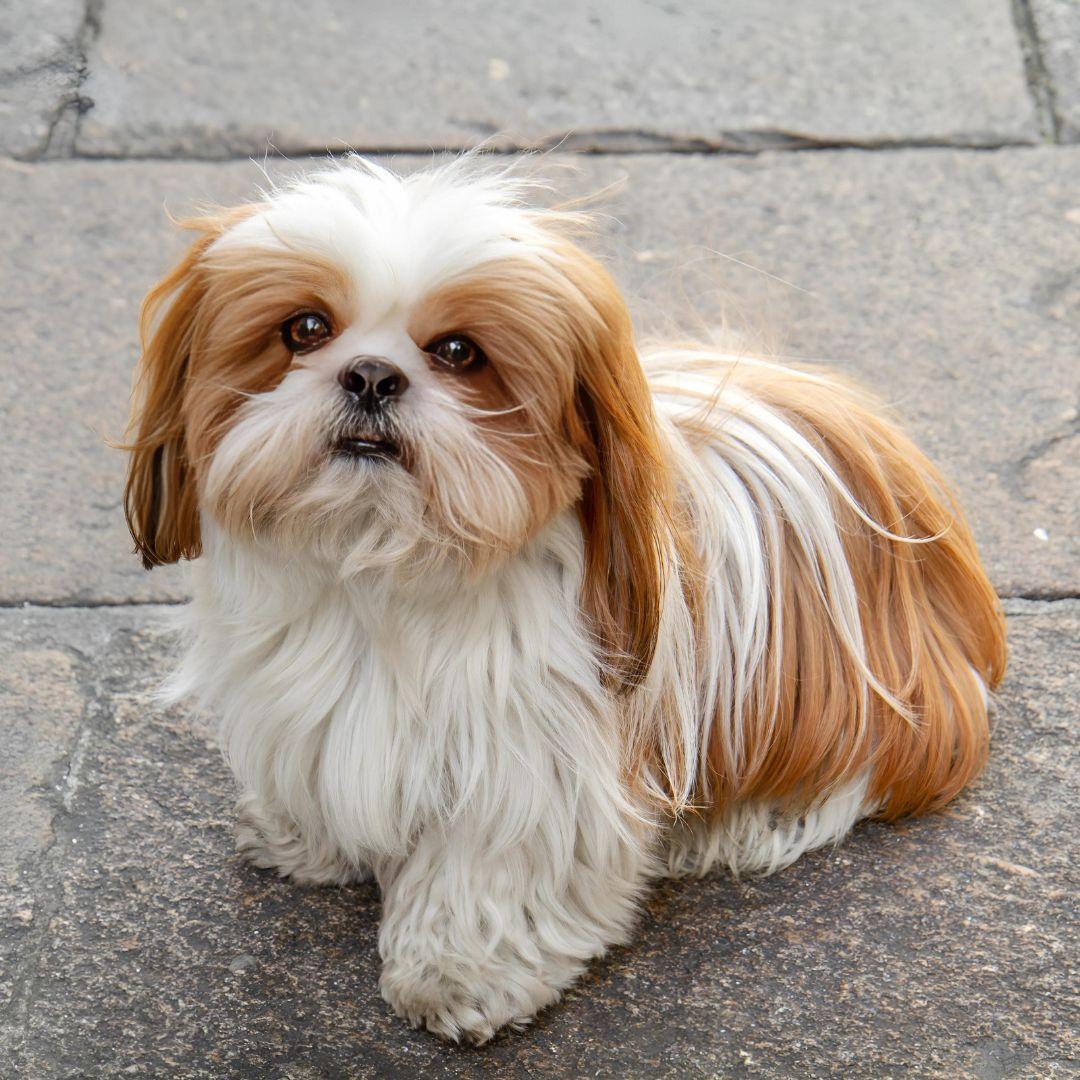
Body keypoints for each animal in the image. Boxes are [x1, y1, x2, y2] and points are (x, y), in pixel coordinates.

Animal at [122, 156, 1006, 1041]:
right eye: (304, 329)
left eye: (459, 351)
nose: (372, 375)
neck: (384, 568)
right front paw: (305, 839)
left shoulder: (530, 761)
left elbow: (489, 869)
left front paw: (455, 974)